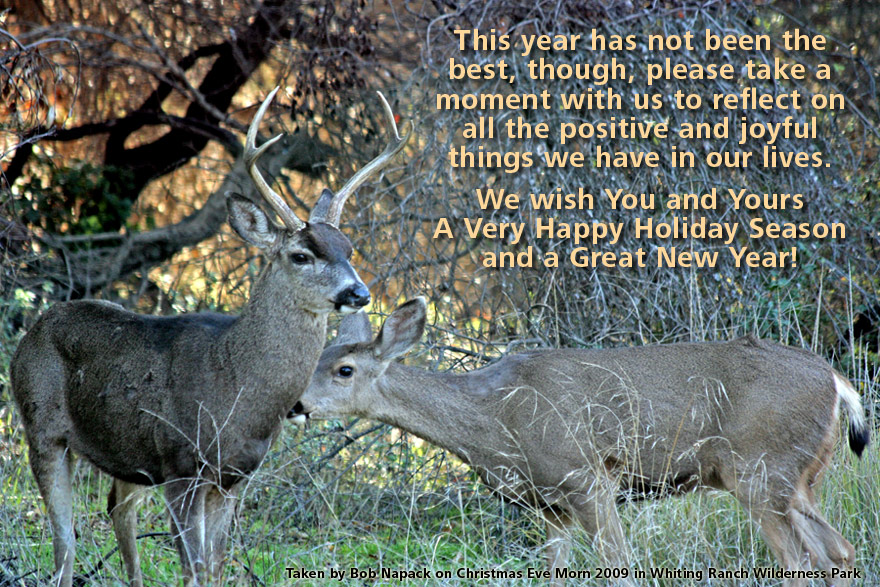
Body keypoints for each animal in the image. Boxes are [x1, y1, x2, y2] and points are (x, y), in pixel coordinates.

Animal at [10, 87, 411, 587]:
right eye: (301, 255)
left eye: (349, 249)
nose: (359, 292)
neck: (235, 390)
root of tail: (33, 330)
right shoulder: (181, 463)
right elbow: (196, 567)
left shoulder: (233, 477)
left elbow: (216, 565)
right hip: (41, 425)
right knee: (64, 543)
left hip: (128, 453)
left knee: (118, 513)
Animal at [291, 298, 871, 587]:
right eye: (316, 358)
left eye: (343, 369)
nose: (295, 403)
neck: (494, 418)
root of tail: (837, 383)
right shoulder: (548, 505)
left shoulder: (586, 478)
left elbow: (624, 572)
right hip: (797, 479)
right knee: (839, 553)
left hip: (757, 471)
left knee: (802, 564)